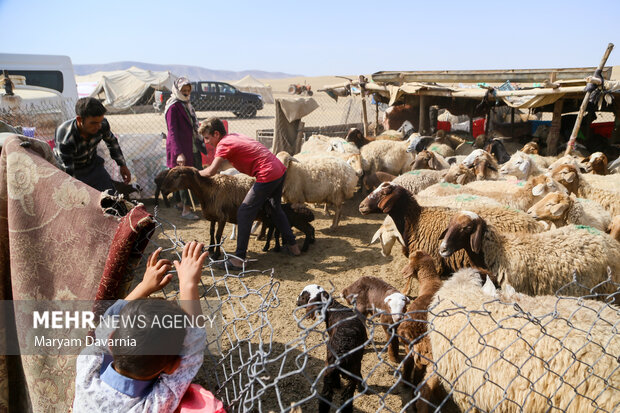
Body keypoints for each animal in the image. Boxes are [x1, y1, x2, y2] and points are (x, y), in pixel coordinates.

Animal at [296, 284, 366, 412]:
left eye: (303, 296)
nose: (296, 302)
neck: (334, 307)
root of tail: (343, 350)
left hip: (329, 369)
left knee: (327, 396)